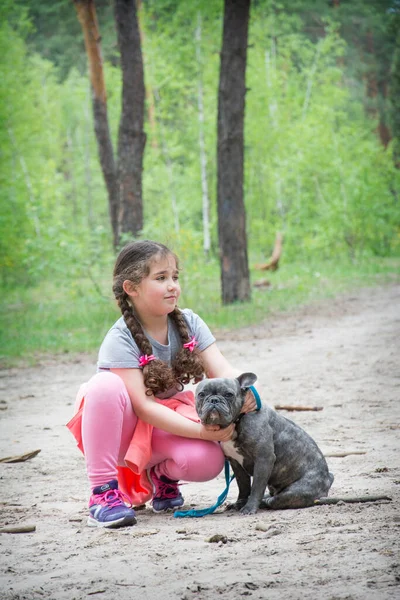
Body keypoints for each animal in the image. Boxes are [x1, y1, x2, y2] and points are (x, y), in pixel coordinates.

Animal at [195, 372, 332, 512]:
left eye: (229, 394)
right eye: (201, 394)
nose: (214, 400)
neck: (239, 419)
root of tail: (328, 479)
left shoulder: (264, 459)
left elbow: (256, 487)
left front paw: (249, 507)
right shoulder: (236, 464)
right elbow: (243, 486)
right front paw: (240, 503)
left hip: (294, 492)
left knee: (274, 500)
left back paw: (262, 502)